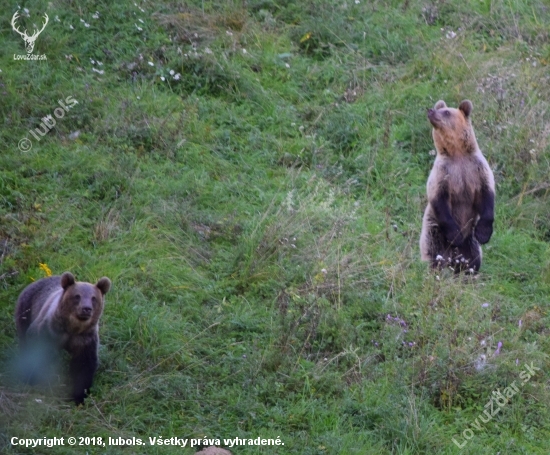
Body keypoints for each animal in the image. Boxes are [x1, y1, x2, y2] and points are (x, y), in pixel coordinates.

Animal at [14, 272, 111, 404]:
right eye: (77, 296)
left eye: (93, 298)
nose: (86, 309)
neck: (72, 328)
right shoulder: (48, 330)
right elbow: (35, 351)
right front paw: (30, 378)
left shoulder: (84, 339)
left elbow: (84, 365)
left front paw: (79, 396)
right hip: (25, 311)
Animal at [422, 100, 496, 274]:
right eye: (440, 109)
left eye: (446, 112)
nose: (430, 111)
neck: (457, 154)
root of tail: (452, 257)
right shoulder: (443, 174)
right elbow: (439, 201)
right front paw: (455, 235)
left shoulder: (477, 171)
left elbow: (487, 197)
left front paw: (484, 233)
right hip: (433, 233)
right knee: (433, 254)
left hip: (470, 243)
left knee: (473, 260)